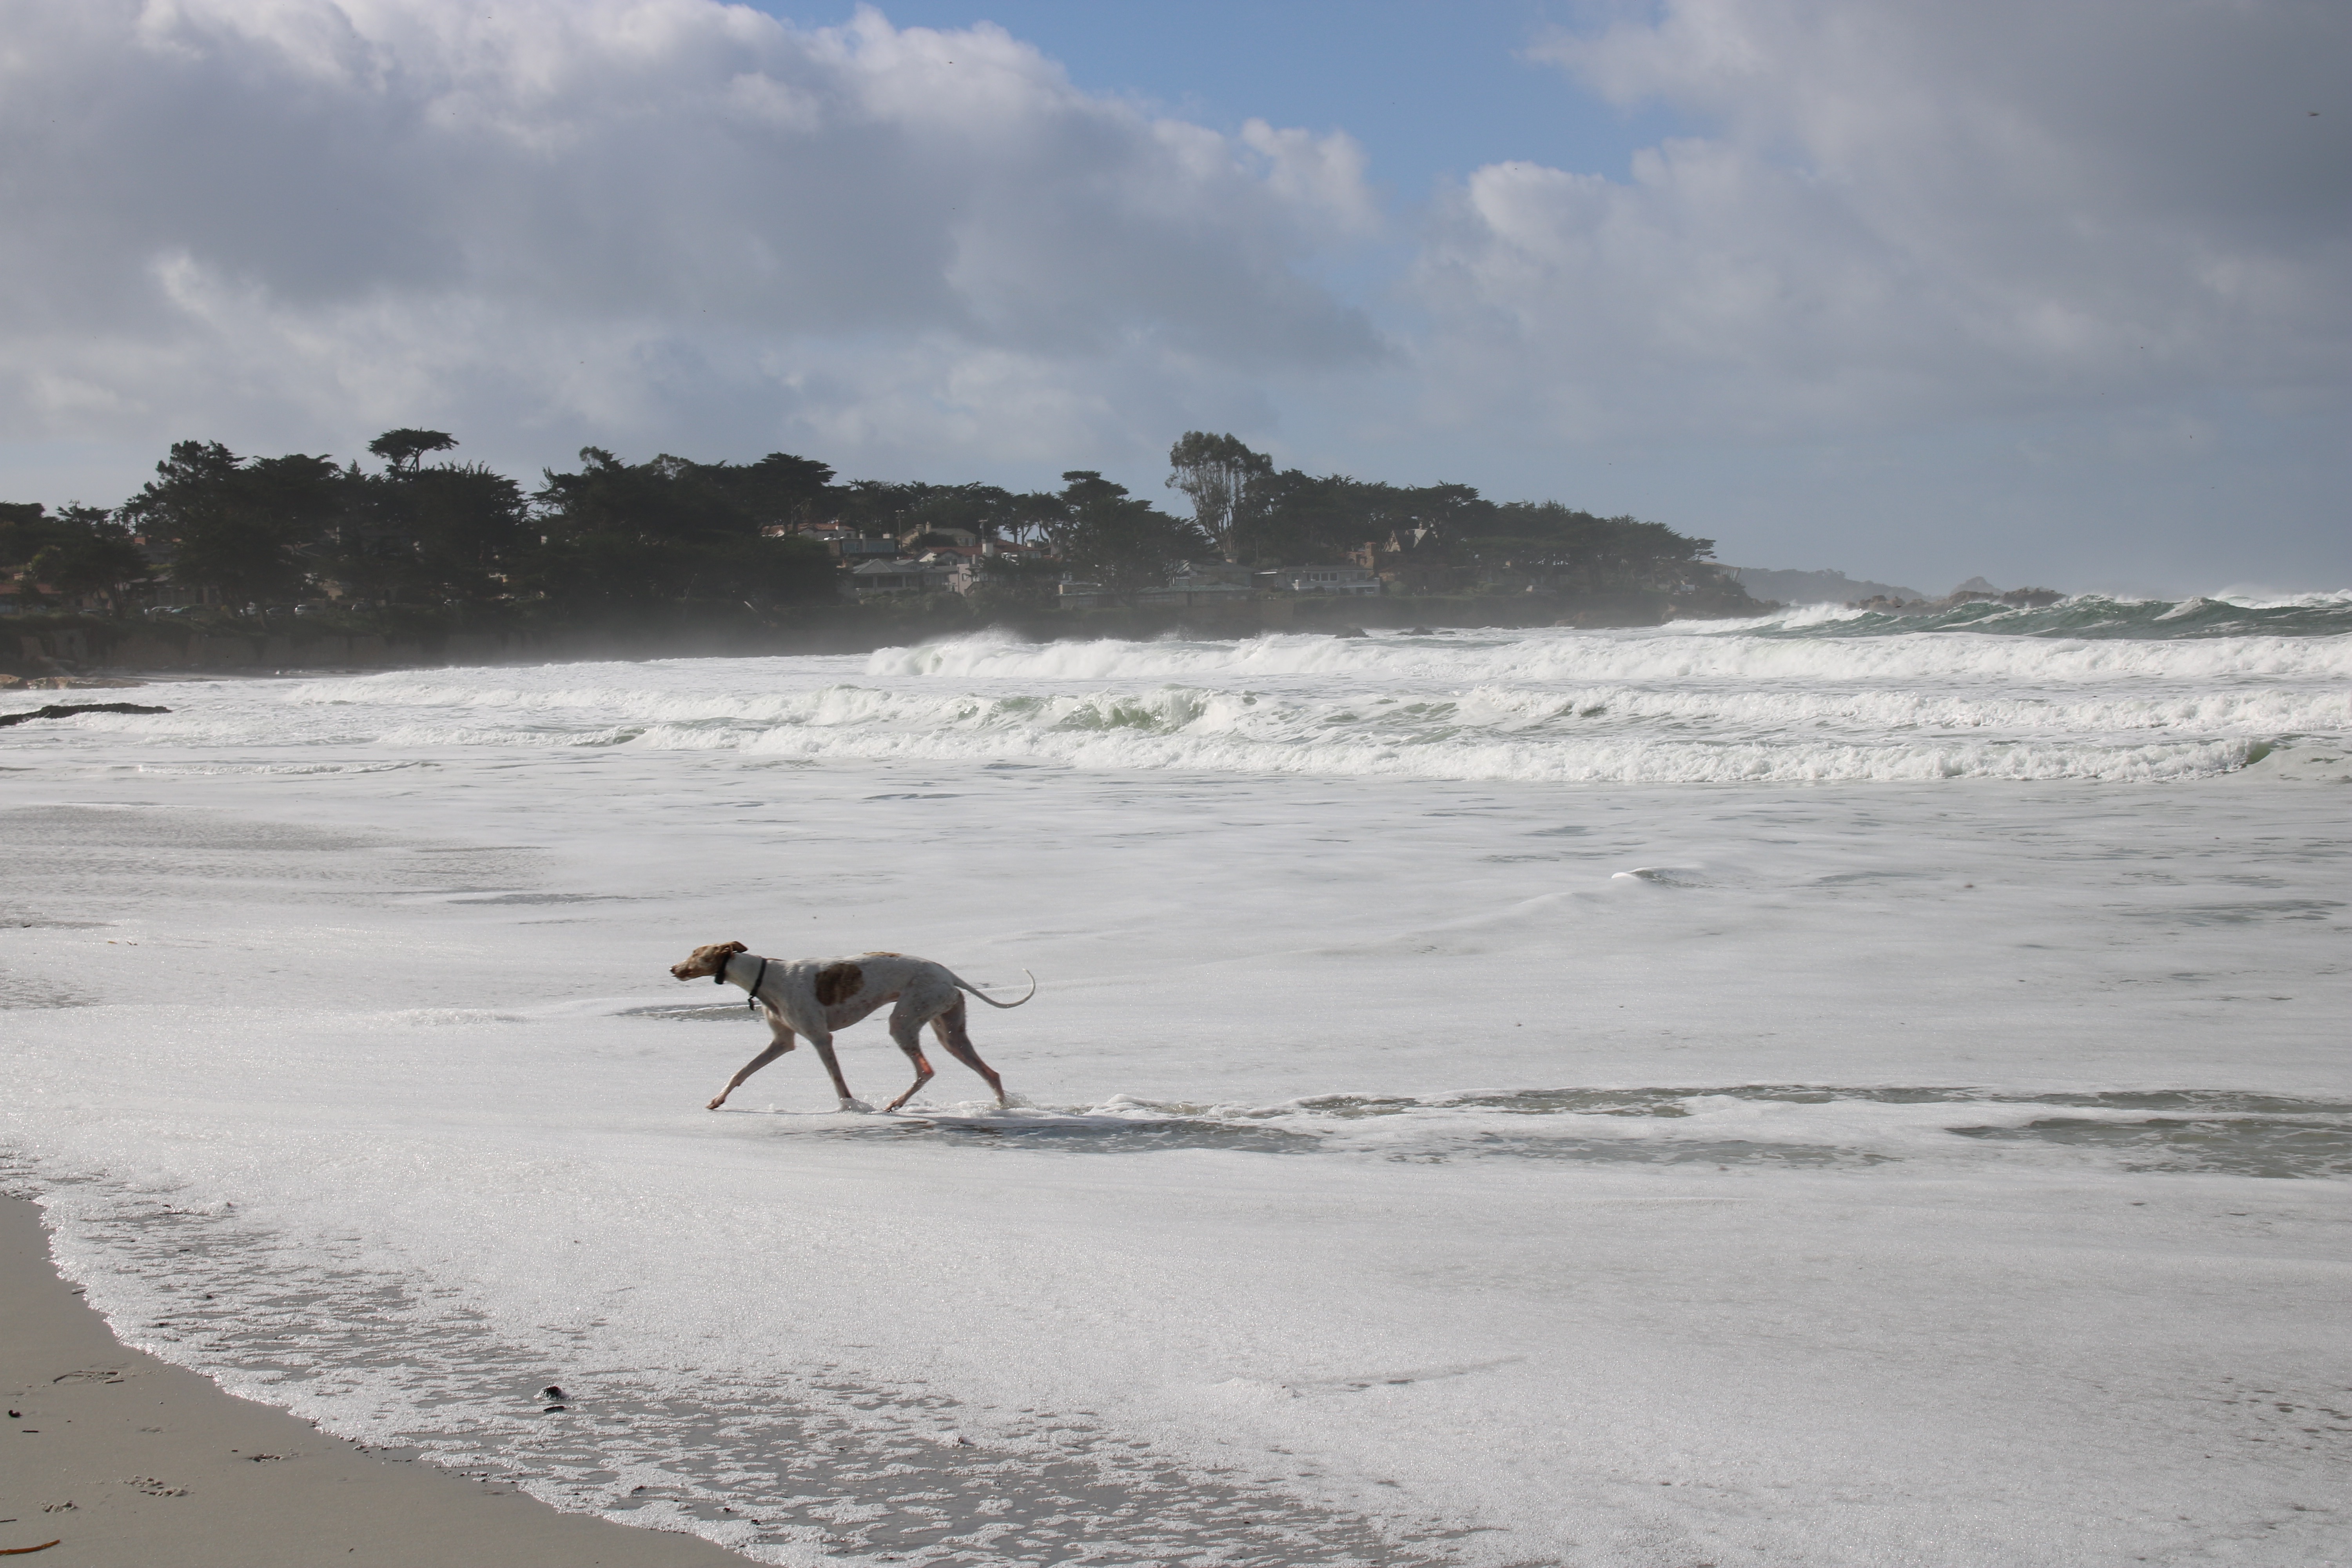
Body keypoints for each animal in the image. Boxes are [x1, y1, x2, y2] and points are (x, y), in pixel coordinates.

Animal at [663, 945, 1030, 1114]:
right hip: (950, 1032)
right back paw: (1003, 1107)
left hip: (905, 1021)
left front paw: (850, 1108)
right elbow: (742, 1071)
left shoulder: (820, 1038)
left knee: (926, 1069)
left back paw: (895, 1104)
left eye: (696, 954)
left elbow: (838, 1082)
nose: (672, 969)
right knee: (990, 1072)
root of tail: (949, 974)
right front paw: (717, 1100)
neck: (765, 976)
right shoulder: (782, 1042)